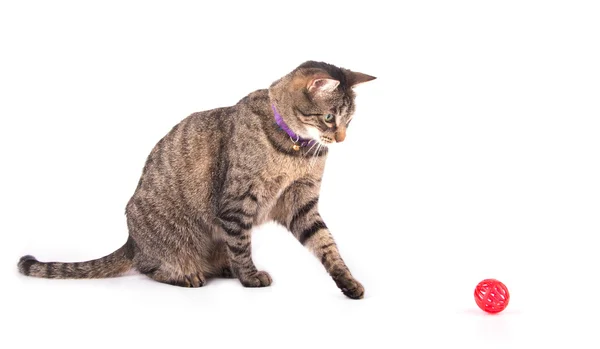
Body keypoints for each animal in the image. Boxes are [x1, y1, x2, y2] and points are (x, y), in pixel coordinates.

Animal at [17, 61, 376, 298]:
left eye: (349, 121)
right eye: (329, 118)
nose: (341, 139)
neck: (295, 150)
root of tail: (132, 241)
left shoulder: (302, 203)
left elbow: (326, 243)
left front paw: (347, 281)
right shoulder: (237, 202)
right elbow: (241, 245)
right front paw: (249, 277)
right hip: (168, 239)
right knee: (150, 267)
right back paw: (188, 274)